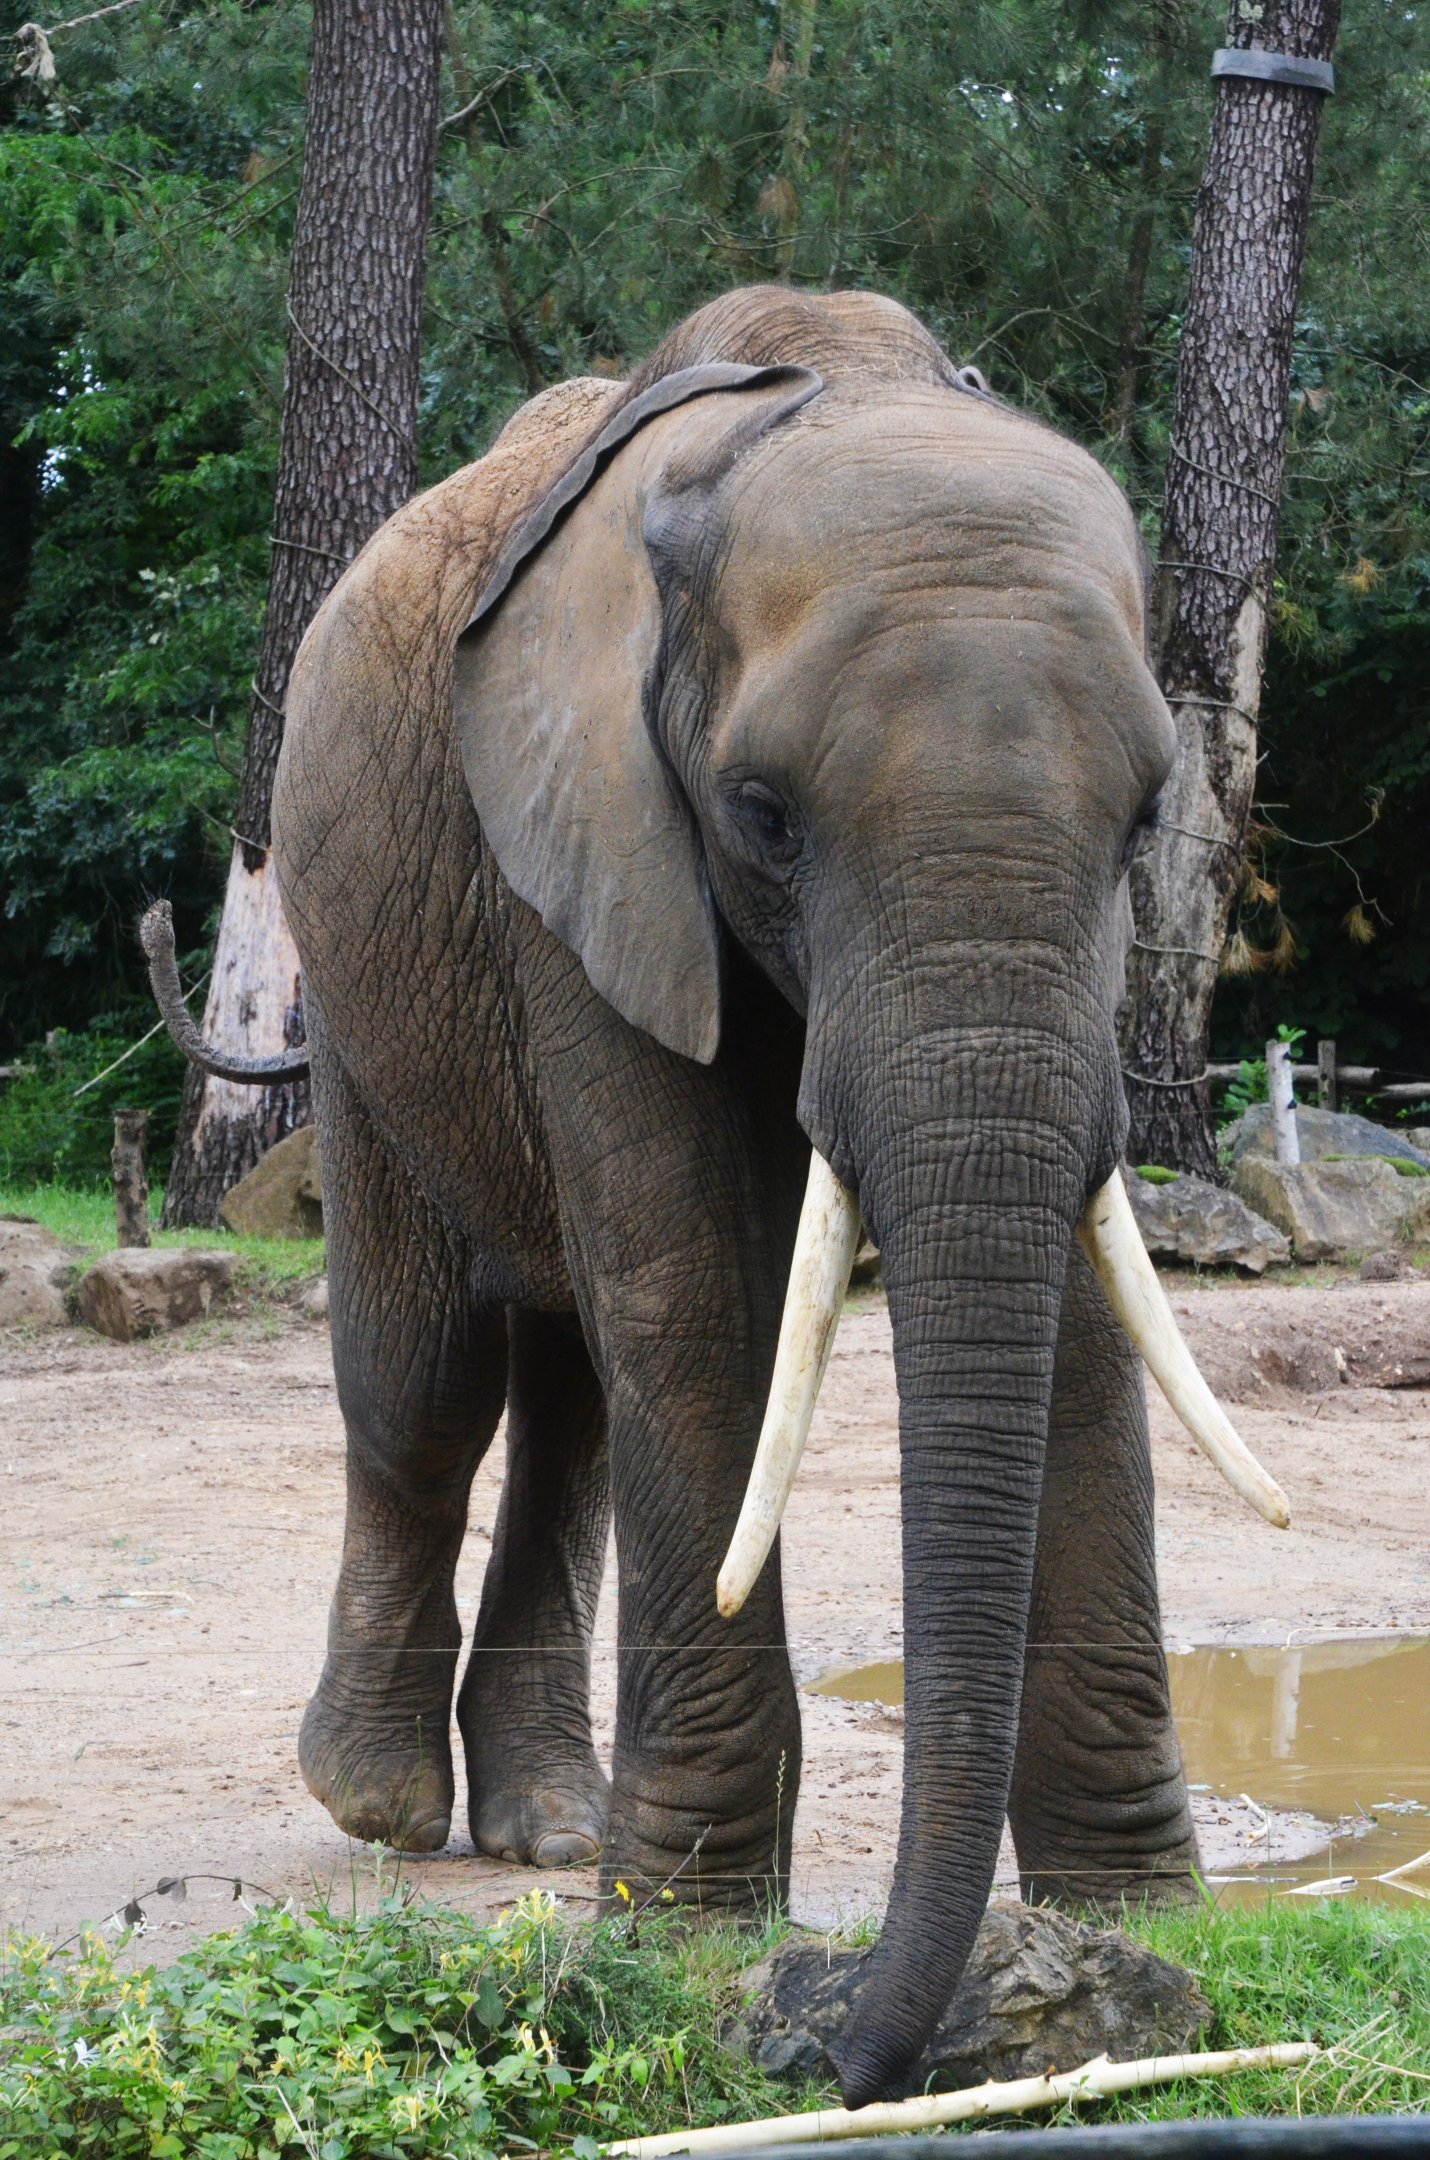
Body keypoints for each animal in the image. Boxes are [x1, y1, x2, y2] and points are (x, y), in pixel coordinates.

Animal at [146, 284, 1290, 2105]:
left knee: (571, 1406)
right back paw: (383, 1806)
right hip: (369, 994)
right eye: (762, 817)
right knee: (430, 1387)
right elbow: (695, 1288)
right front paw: (682, 1935)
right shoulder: (584, 850)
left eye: (1140, 823)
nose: (846, 2055)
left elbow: (1079, 1298)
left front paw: (1140, 1917)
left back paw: (548, 1832)